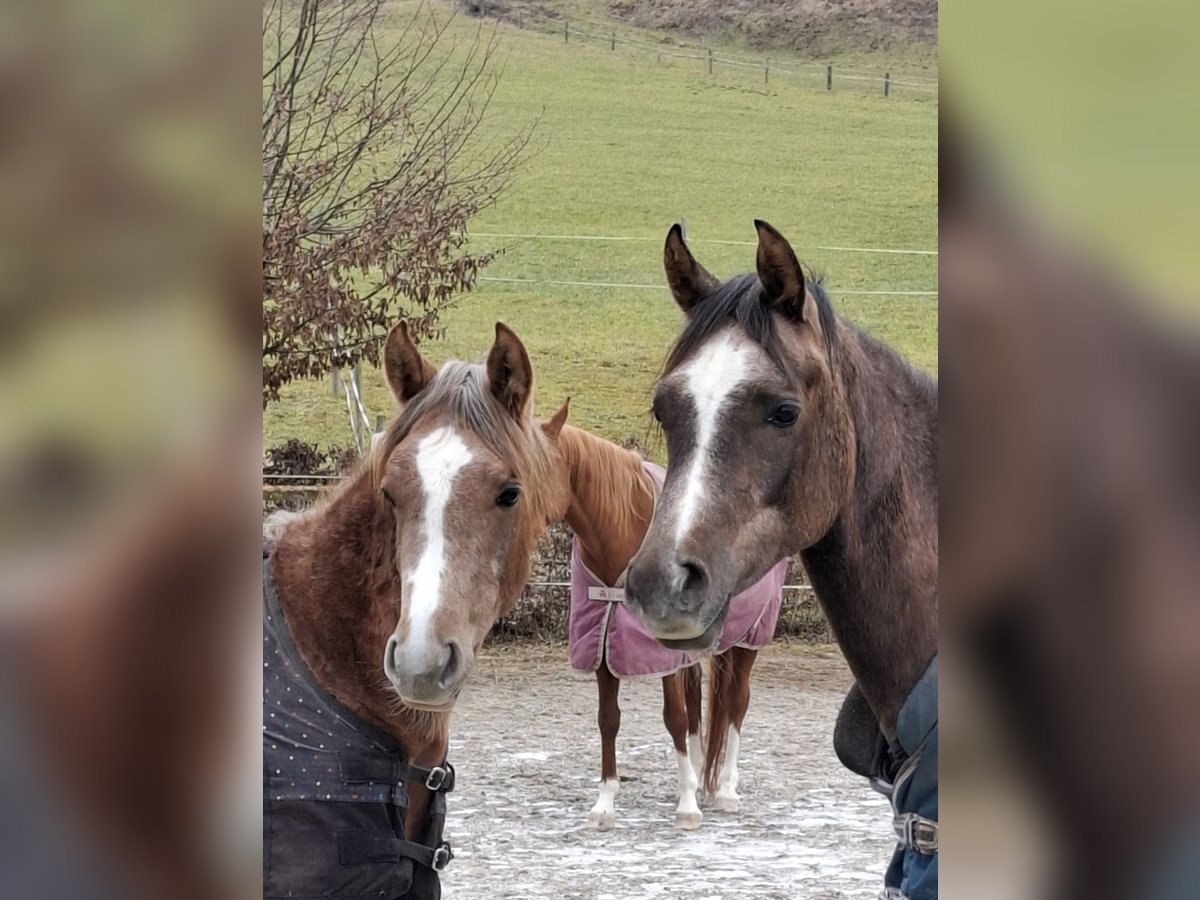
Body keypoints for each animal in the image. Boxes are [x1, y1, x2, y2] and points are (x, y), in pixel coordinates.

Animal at [540, 405, 786, 830]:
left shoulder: (663, 657)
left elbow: (674, 718)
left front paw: (688, 807)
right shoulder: (604, 649)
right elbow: (610, 720)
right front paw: (605, 804)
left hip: (748, 640)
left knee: (736, 705)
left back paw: (725, 790)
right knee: (698, 709)